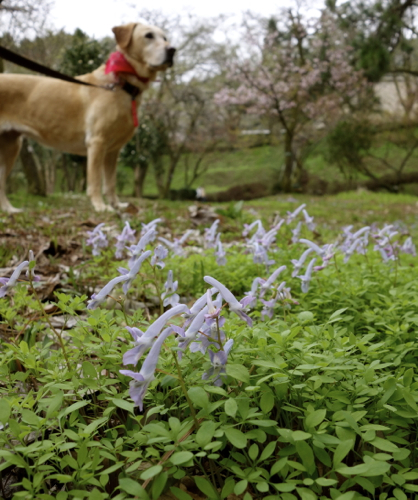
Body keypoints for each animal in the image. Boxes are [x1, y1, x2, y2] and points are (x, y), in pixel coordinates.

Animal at [0, 22, 175, 213]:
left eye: (165, 37)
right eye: (148, 35)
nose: (172, 50)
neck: (121, 81)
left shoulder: (113, 150)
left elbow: (111, 183)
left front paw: (116, 205)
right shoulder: (97, 142)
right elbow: (96, 181)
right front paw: (100, 206)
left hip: (11, 147)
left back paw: (9, 209)